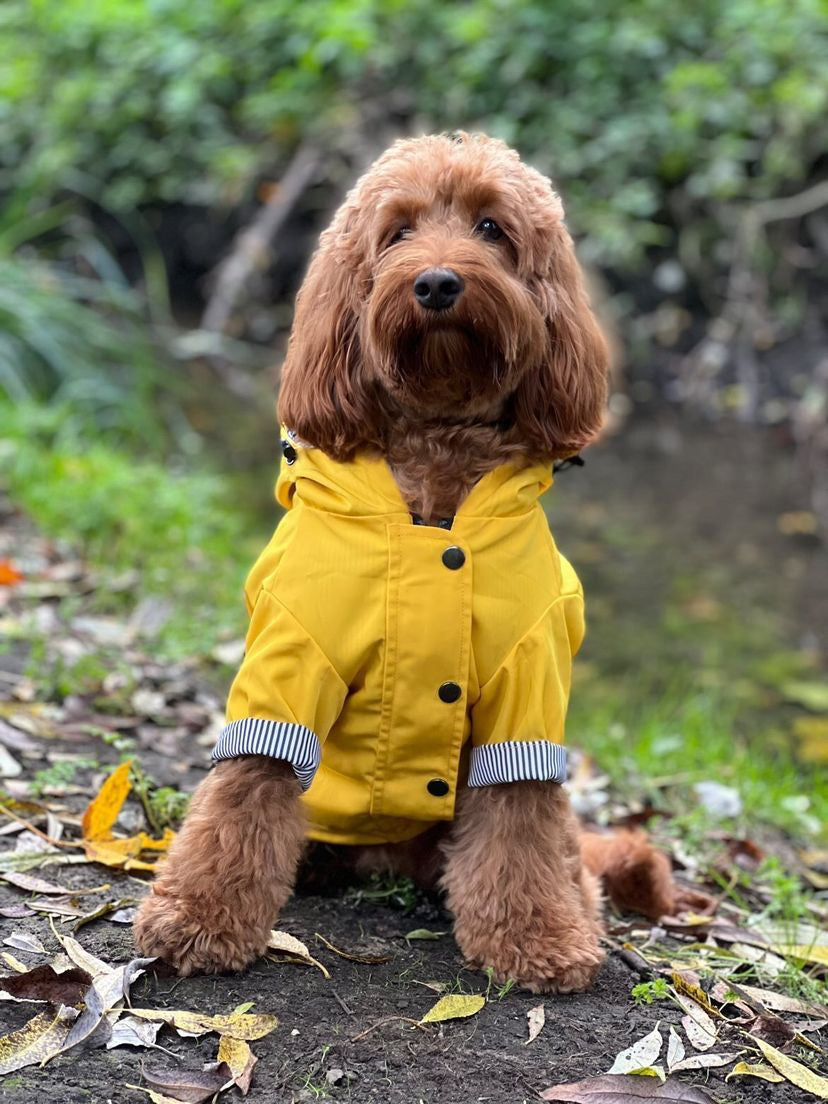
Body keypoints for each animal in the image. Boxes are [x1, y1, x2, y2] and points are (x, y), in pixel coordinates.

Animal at [134, 131, 680, 993]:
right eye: (396, 233)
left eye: (492, 228)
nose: (436, 281)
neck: (436, 455)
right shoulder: (289, 660)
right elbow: (243, 791)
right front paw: (196, 917)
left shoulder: (529, 686)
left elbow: (519, 819)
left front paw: (537, 938)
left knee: (563, 854)